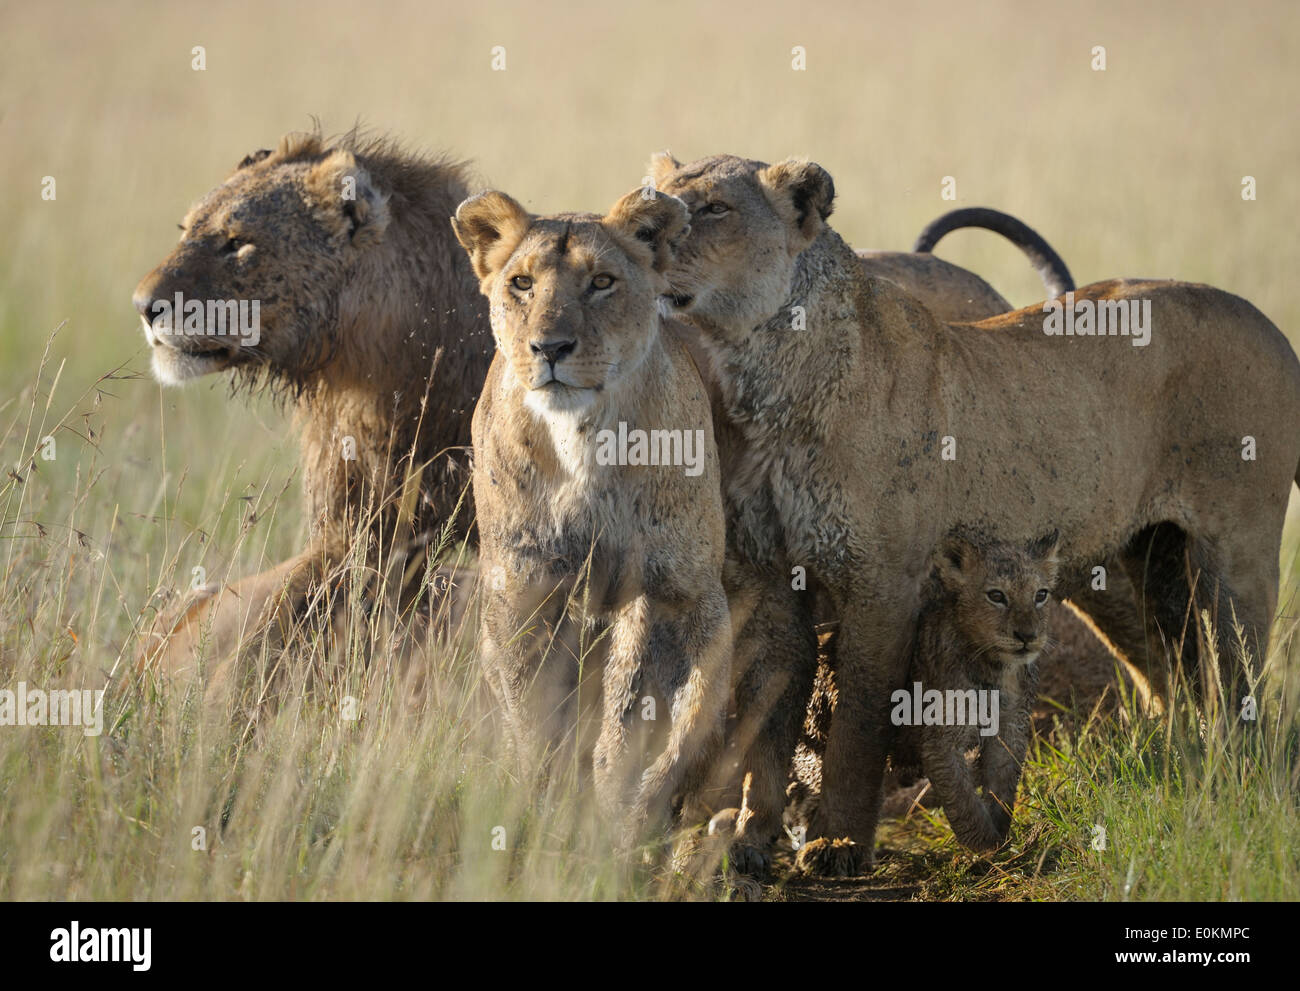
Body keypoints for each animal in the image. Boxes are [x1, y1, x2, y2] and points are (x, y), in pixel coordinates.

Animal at [451, 186, 731, 839]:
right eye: (522, 283)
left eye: (602, 281)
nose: (550, 349)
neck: (581, 436)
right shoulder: (525, 584)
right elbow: (531, 707)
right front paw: (541, 801)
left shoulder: (664, 590)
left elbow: (640, 709)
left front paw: (620, 810)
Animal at [651, 151, 1300, 875]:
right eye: (656, 194)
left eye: (714, 208)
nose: (641, 231)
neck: (760, 374)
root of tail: (1269, 324)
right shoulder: (772, 579)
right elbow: (768, 719)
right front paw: (747, 837)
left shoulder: (884, 582)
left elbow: (858, 723)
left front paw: (838, 842)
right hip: (1141, 557)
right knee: (1169, 666)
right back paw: (1180, 762)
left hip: (1235, 553)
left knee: (1240, 677)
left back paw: (1237, 782)